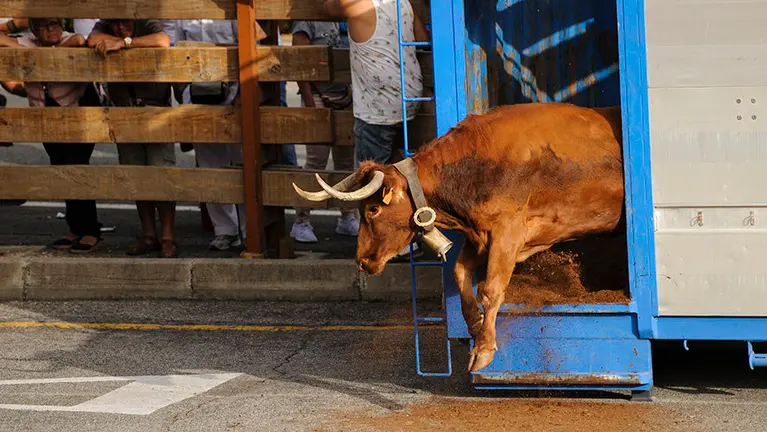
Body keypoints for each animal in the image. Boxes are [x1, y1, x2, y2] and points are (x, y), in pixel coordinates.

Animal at [293, 102, 625, 372]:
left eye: (373, 209)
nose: (362, 260)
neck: (473, 168)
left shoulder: (508, 233)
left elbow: (490, 289)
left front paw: (483, 349)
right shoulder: (480, 237)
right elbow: (460, 272)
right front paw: (475, 324)